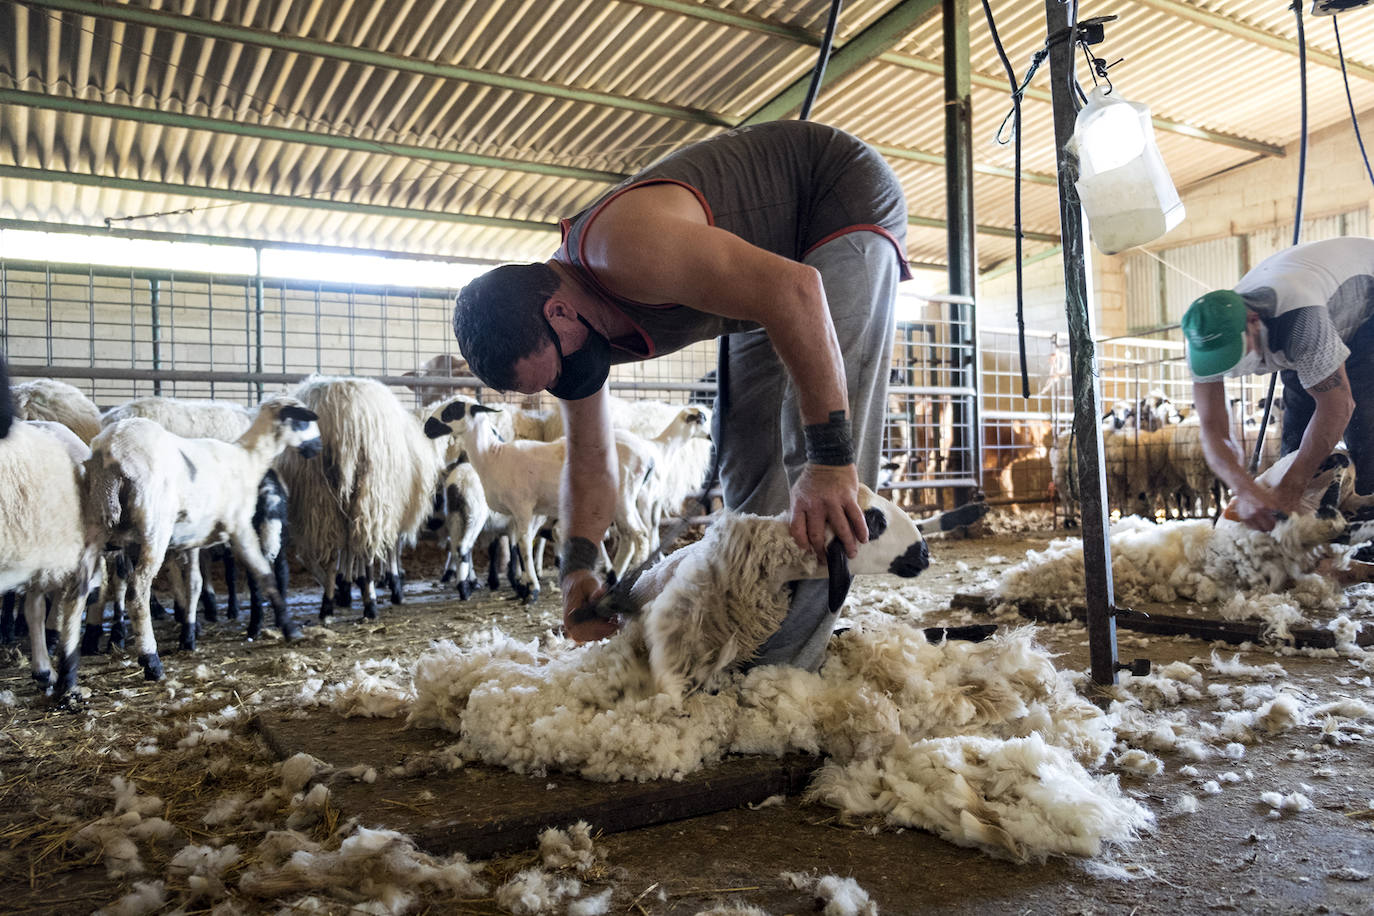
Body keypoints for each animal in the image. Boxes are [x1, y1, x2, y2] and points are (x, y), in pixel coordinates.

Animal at [85, 398, 321, 683]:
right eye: (304, 420)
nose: (318, 447)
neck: (248, 459)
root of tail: (111, 453)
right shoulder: (239, 526)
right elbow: (264, 574)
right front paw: (289, 628)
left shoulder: (192, 541)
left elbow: (193, 585)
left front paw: (189, 634)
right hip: (154, 526)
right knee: (137, 591)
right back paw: (151, 662)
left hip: (101, 528)